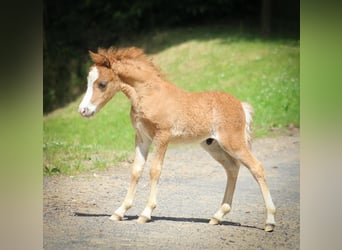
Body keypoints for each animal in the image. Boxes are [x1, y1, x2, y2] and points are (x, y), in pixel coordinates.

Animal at [77, 46, 276, 231]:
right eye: (88, 82)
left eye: (102, 84)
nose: (83, 110)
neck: (149, 94)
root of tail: (241, 105)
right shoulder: (142, 137)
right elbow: (136, 170)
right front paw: (119, 211)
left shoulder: (162, 136)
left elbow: (155, 170)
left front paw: (146, 213)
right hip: (213, 146)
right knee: (232, 168)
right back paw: (217, 216)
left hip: (233, 143)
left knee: (256, 167)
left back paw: (270, 222)